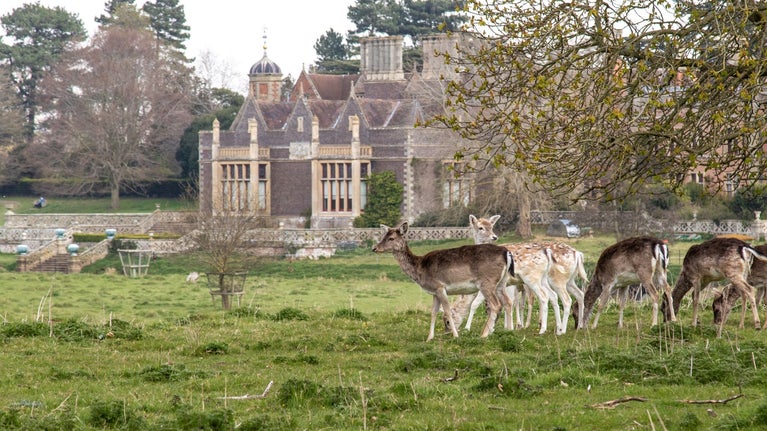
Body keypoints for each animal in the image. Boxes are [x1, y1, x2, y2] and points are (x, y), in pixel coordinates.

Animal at [372, 222, 514, 341]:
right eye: (383, 236)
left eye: (391, 238)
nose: (375, 248)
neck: (420, 269)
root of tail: (506, 252)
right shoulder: (434, 292)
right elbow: (433, 312)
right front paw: (429, 338)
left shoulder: (440, 287)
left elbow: (447, 311)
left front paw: (455, 336)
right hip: (501, 282)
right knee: (508, 302)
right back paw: (508, 330)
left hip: (487, 282)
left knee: (496, 305)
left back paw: (484, 335)